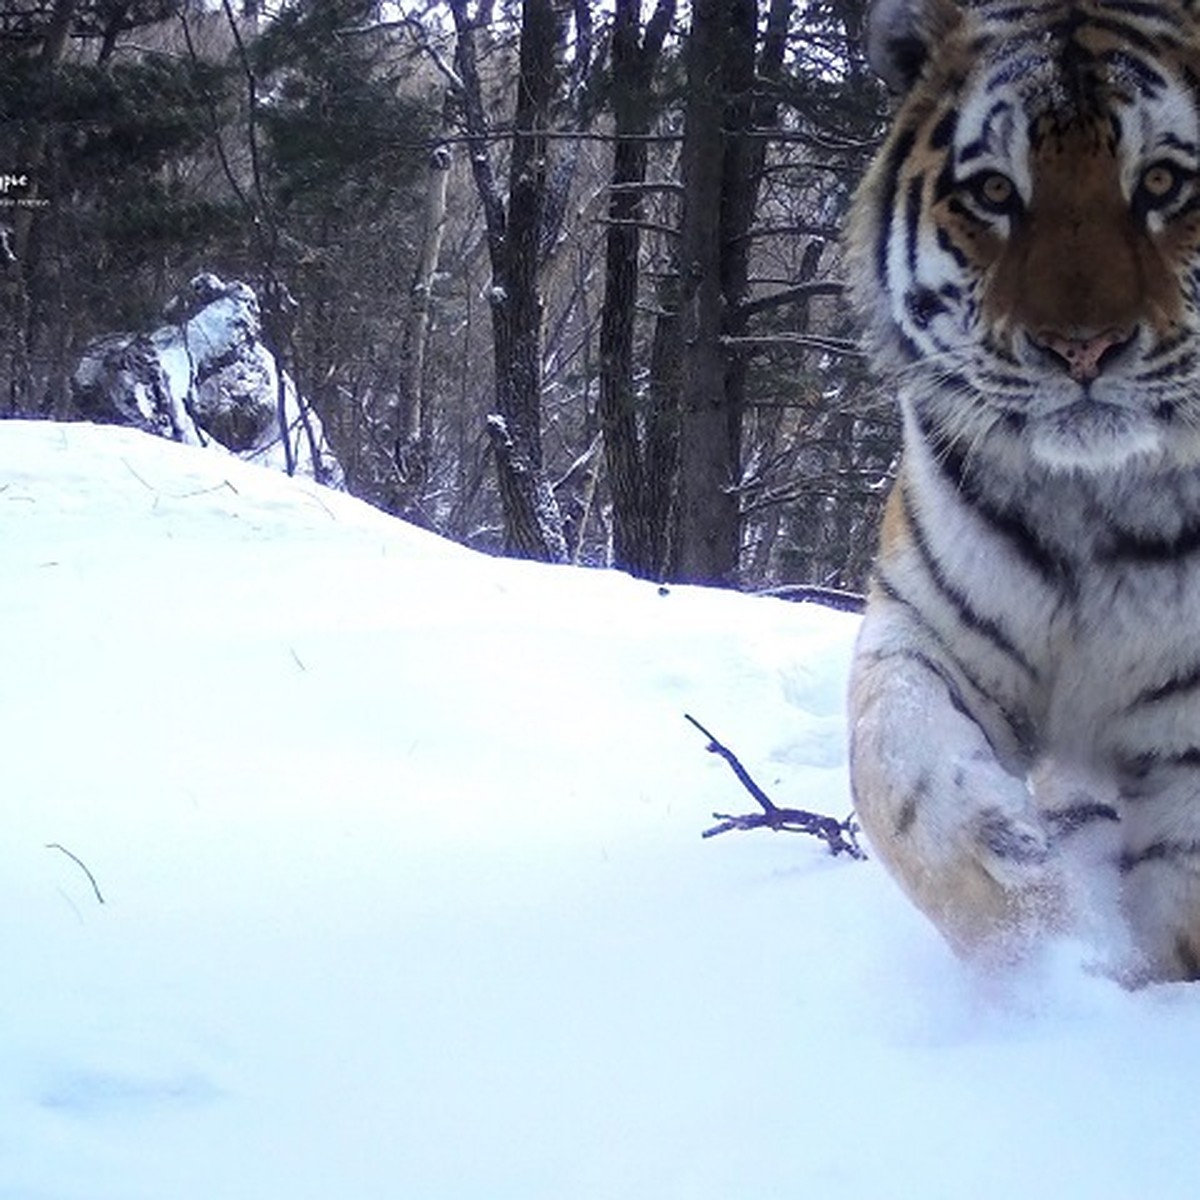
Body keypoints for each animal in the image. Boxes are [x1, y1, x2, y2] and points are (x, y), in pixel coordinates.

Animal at [840, 0, 1200, 979]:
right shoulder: (925, 623)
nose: (1083, 347)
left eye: (1162, 181)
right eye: (997, 193)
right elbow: (901, 768)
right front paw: (1034, 921)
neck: (1097, 507)